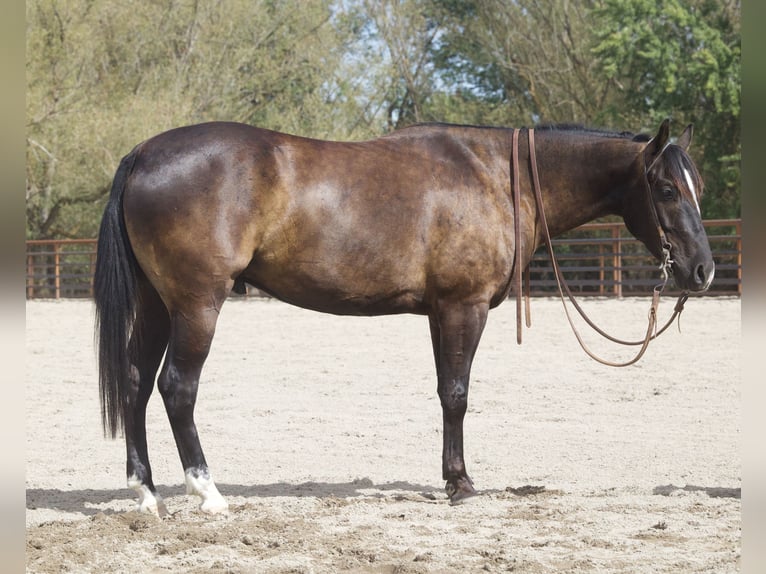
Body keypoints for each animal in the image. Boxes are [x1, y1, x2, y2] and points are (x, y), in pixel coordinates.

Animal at [94, 119, 715, 516]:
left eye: (697, 187)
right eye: (665, 188)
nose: (703, 270)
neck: (495, 176)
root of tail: (145, 153)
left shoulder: (441, 312)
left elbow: (444, 392)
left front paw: (451, 478)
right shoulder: (464, 307)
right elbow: (459, 393)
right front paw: (462, 485)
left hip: (158, 305)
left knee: (136, 384)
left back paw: (146, 494)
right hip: (197, 304)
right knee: (177, 387)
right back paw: (208, 493)